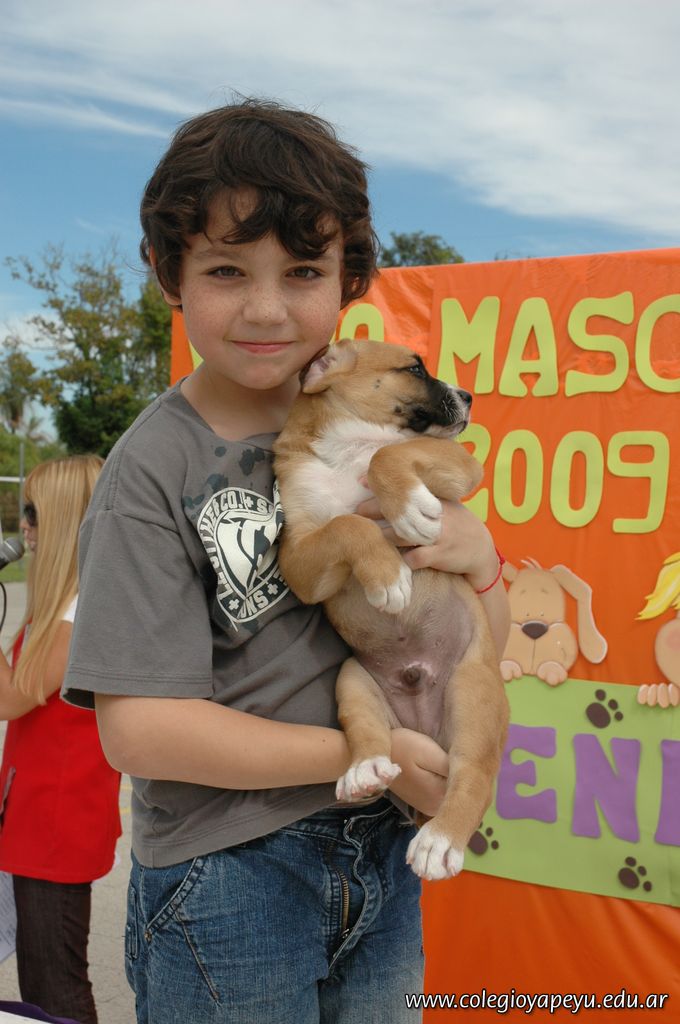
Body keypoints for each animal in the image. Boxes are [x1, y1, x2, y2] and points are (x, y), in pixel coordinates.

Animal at [273, 338, 509, 880]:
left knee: (476, 775)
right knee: (369, 732)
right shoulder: (300, 558)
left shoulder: (455, 462)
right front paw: (387, 576)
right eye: (416, 368)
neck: (346, 446)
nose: (469, 396)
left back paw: (440, 840)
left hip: (474, 692)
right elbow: (348, 525)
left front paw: (408, 511)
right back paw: (366, 770)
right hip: (353, 680)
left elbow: (390, 451)